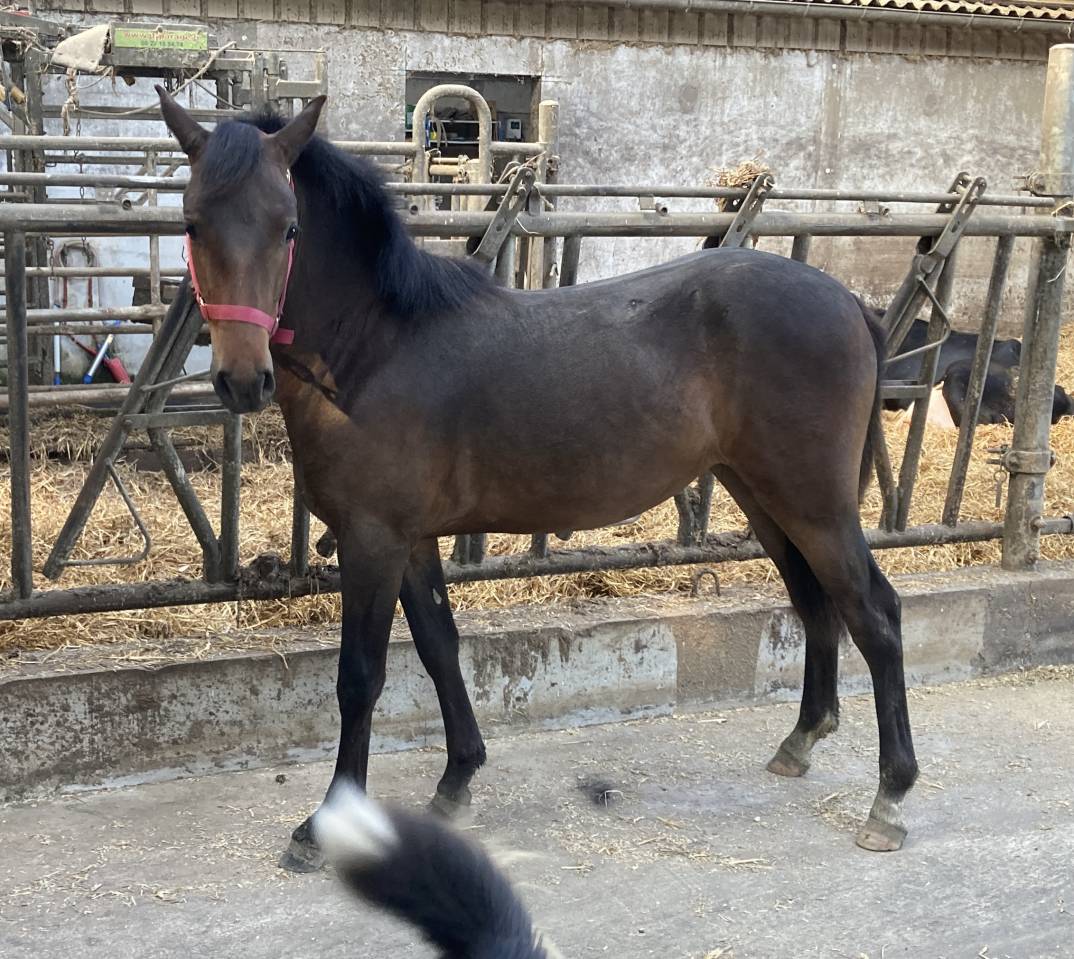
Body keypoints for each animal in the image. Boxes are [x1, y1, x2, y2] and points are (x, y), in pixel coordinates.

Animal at [156, 88, 918, 867]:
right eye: (191, 221)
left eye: (289, 228)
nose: (242, 379)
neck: (374, 346)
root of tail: (850, 301)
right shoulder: (411, 541)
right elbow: (439, 648)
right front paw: (458, 777)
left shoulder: (373, 540)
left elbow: (359, 678)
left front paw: (321, 826)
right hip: (763, 495)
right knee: (816, 603)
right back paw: (801, 740)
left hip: (815, 505)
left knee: (875, 613)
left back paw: (889, 797)